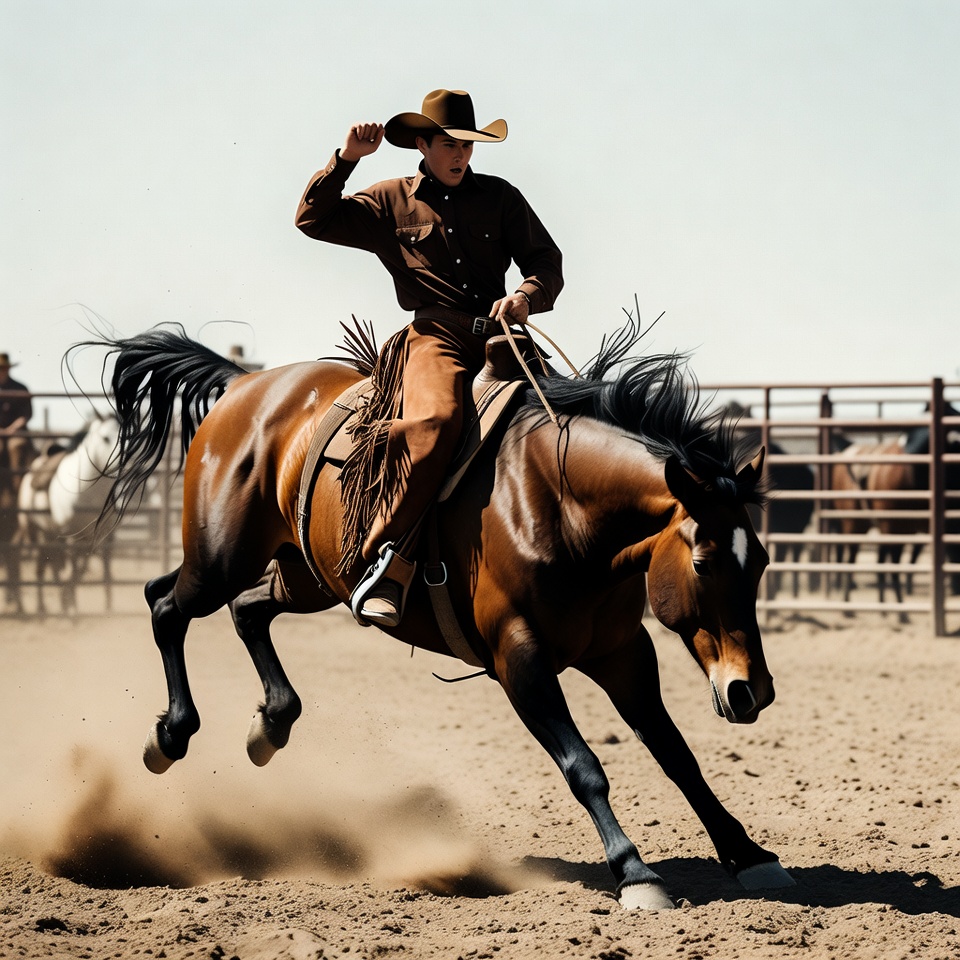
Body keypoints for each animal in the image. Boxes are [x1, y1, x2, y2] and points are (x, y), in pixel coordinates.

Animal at [16, 413, 120, 614]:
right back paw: (42, 608)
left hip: (50, 536)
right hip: (35, 531)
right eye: (105, 438)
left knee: (50, 566)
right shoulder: (72, 537)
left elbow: (102, 572)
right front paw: (72, 608)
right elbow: (72, 572)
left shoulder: (102, 538)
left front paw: (109, 607)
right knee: (41, 568)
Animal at [88, 321, 795, 910]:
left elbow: (677, 754)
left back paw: (272, 724)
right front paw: (636, 873)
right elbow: (584, 768)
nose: (752, 691)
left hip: (308, 575)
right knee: (165, 605)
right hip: (220, 558)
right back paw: (171, 735)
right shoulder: (521, 661)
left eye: (760, 559)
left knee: (245, 610)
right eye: (703, 562)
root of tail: (244, 386)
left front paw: (748, 854)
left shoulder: (622, 652)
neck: (558, 504)